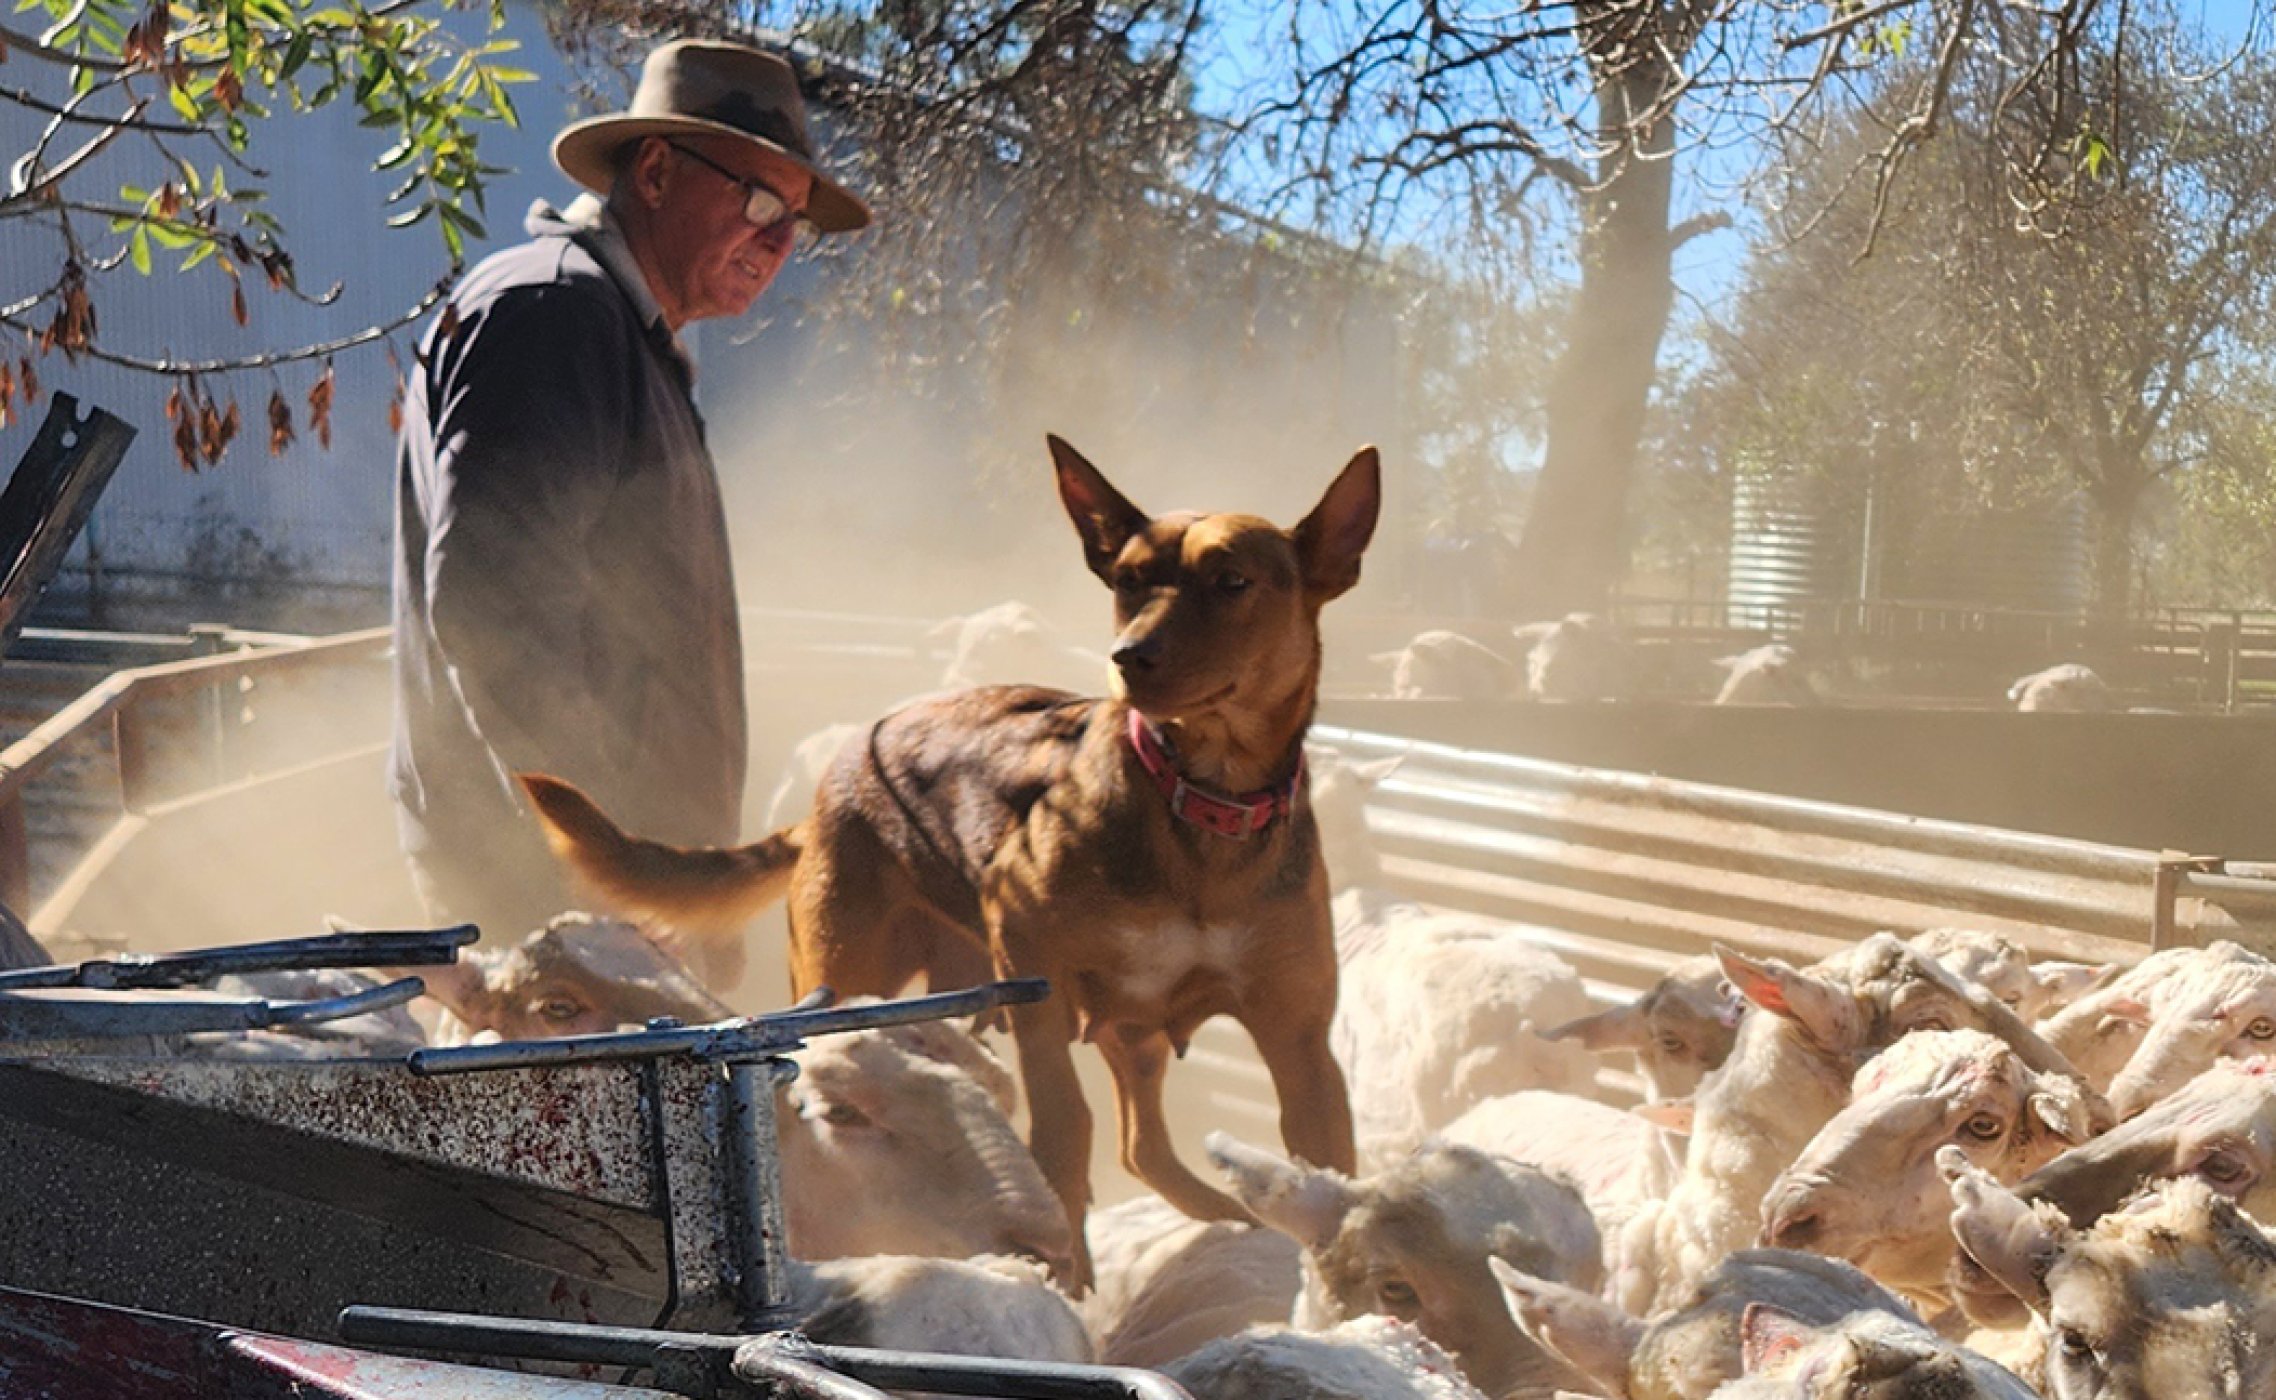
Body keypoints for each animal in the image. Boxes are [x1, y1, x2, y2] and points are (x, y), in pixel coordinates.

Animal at [518, 441, 1365, 1293]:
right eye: (1129, 580)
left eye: (1231, 581)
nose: (1129, 659)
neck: (1198, 809)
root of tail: (838, 778)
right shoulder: (1030, 956)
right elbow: (1064, 1125)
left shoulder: (1301, 1042)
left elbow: (1328, 1170)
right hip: (850, 967)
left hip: (1132, 1032)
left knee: (1144, 1145)